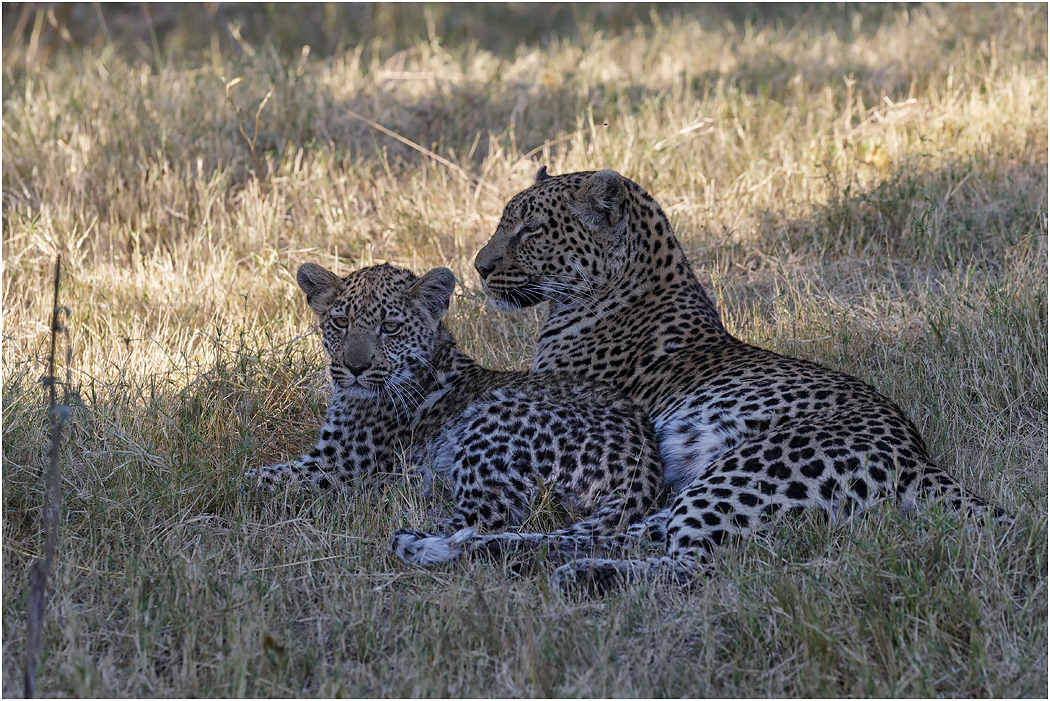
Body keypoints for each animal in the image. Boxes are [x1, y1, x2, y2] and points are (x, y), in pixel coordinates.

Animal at [243, 261, 665, 567]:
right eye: (341, 322)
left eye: (390, 327)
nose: (355, 368)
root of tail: (647, 465)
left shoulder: (338, 464)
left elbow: (253, 479)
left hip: (492, 421)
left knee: (479, 521)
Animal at [456, 166, 1005, 589]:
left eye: (531, 230)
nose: (479, 268)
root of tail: (918, 456)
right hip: (704, 491)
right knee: (620, 535)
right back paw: (496, 548)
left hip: (739, 475)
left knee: (690, 566)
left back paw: (578, 574)